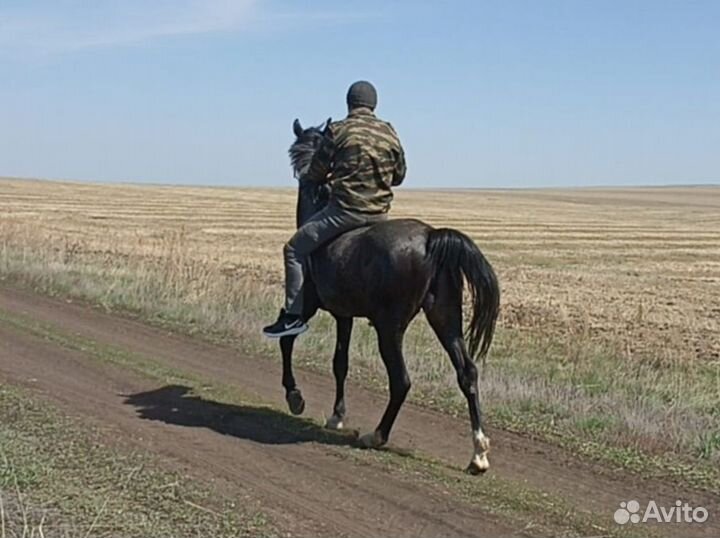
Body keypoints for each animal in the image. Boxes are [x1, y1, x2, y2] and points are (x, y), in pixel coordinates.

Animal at [278, 118, 501, 474]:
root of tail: (431, 236)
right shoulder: (344, 315)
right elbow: (340, 362)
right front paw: (337, 416)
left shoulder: (307, 306)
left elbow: (287, 339)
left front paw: (295, 397)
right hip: (445, 317)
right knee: (467, 373)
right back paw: (478, 455)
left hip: (390, 327)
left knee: (401, 381)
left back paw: (376, 435)